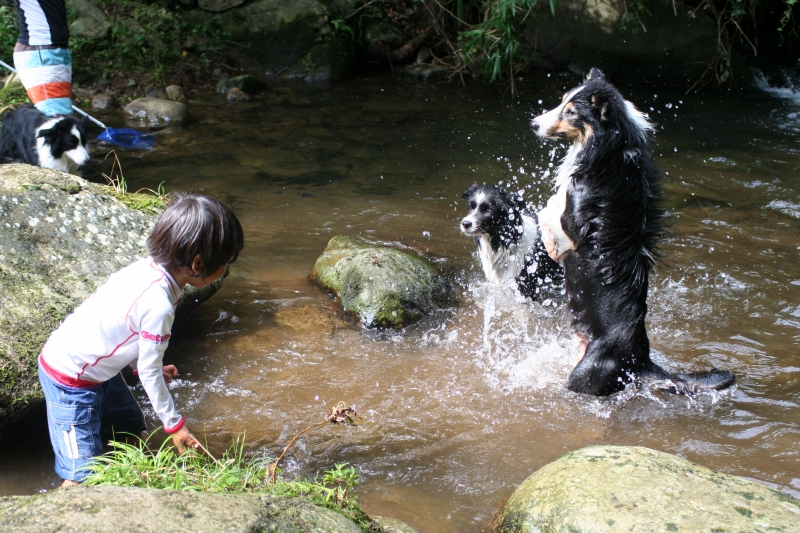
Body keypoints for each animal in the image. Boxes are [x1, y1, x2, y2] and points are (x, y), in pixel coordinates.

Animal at [536, 67, 736, 394]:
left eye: (571, 111)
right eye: (561, 101)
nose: (534, 123)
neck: (609, 149)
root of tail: (640, 359)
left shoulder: (576, 221)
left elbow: (551, 209)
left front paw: (552, 246)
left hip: (582, 376)